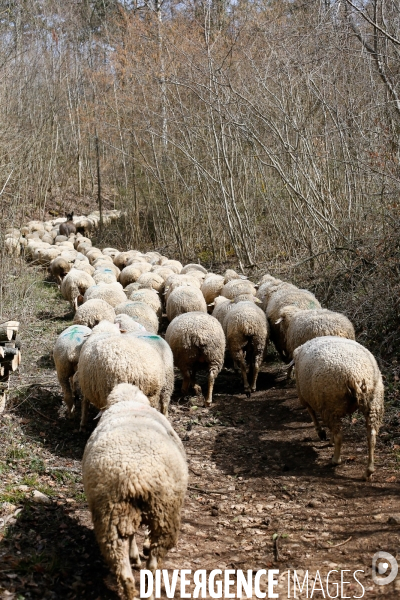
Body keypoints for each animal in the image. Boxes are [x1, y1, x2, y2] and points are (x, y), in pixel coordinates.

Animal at [82, 384, 188, 600]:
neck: (128, 403)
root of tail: (136, 478)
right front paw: (139, 553)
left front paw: (135, 555)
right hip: (165, 514)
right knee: (154, 562)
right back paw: (149, 586)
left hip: (113, 515)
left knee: (122, 564)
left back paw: (131, 588)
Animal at [294, 340, 384, 480]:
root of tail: (355, 375)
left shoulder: (306, 396)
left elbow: (312, 413)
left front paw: (322, 433)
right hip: (374, 403)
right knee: (371, 436)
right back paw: (368, 471)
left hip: (330, 404)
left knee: (339, 435)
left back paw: (336, 460)